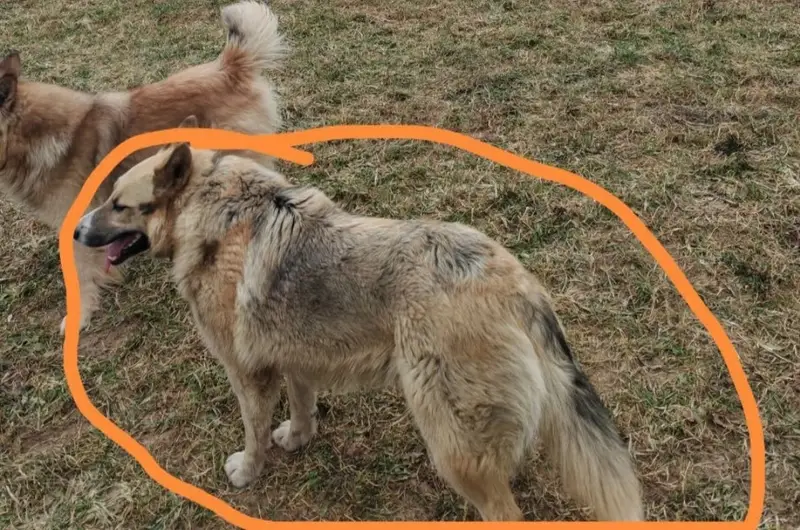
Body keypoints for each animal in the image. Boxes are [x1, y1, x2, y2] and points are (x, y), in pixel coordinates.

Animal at [73, 131, 645, 521]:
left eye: (119, 204)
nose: (75, 232)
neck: (213, 210)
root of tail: (514, 282)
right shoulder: (292, 355)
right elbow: (302, 408)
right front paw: (298, 438)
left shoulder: (248, 373)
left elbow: (253, 433)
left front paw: (248, 471)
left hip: (451, 442)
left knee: (503, 510)